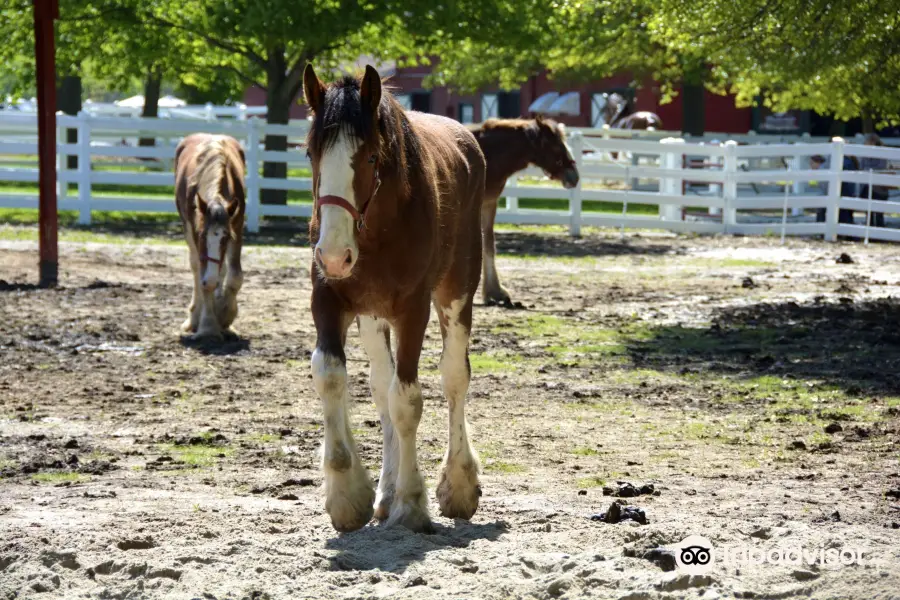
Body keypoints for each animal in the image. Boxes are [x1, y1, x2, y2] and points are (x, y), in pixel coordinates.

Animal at [174, 137, 246, 342]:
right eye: (201, 235)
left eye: (226, 237)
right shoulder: (194, 231)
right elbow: (202, 277)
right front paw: (208, 326)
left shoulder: (236, 227)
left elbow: (234, 276)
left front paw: (225, 317)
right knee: (196, 270)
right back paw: (194, 318)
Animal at [304, 64, 488, 536]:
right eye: (312, 154)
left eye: (370, 157)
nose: (334, 255)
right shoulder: (328, 299)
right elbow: (332, 377)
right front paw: (349, 493)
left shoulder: (412, 310)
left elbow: (407, 401)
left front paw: (411, 502)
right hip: (372, 317)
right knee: (380, 387)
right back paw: (385, 495)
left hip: (457, 294)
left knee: (454, 377)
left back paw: (458, 483)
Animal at [474, 117, 580, 304]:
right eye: (556, 146)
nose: (574, 176)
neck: (488, 154)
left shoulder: (489, 203)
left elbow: (488, 244)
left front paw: (494, 292)